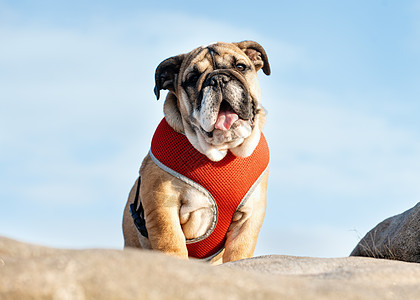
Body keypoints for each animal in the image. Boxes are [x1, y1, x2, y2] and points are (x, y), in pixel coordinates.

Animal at [123, 41, 270, 264]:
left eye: (240, 67)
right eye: (192, 78)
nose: (218, 79)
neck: (221, 151)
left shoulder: (250, 217)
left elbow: (239, 252)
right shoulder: (163, 207)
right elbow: (171, 243)